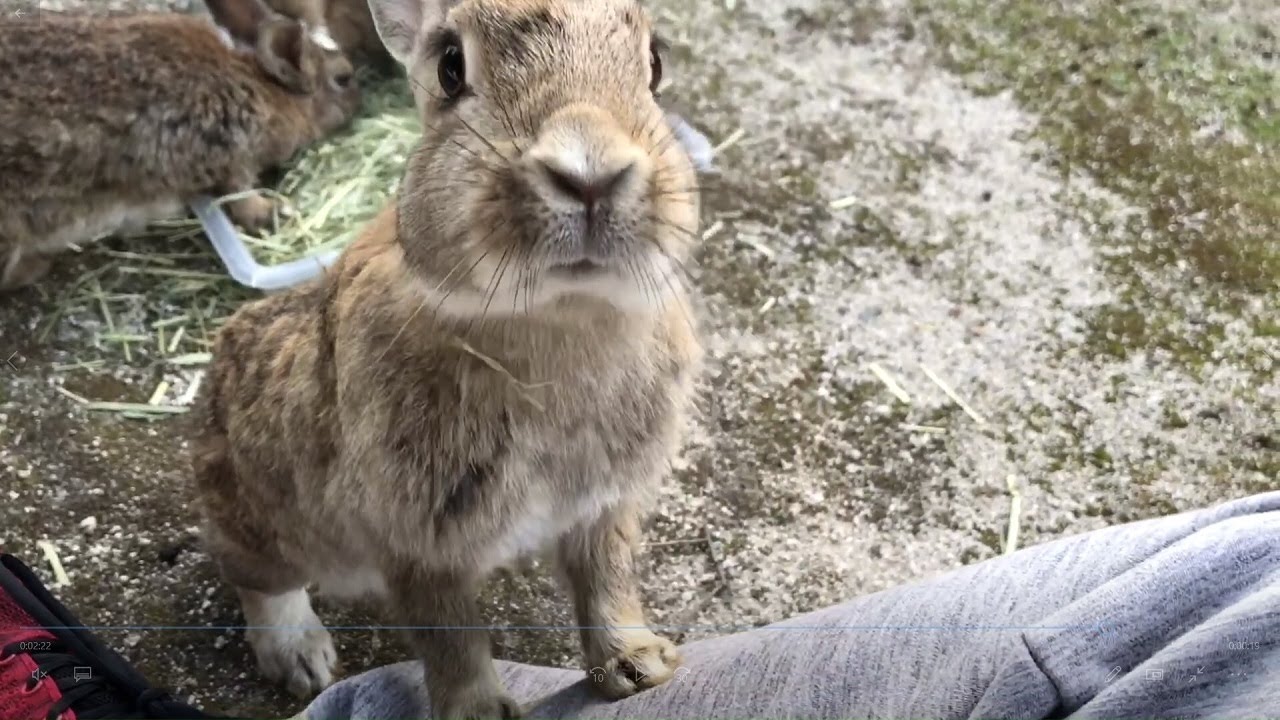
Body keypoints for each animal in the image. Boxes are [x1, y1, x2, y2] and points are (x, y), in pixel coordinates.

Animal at [0, 0, 362, 292]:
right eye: (343, 78)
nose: (360, 103)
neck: (262, 89)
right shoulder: (229, 156)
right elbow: (240, 197)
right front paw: (274, 212)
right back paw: (36, 267)